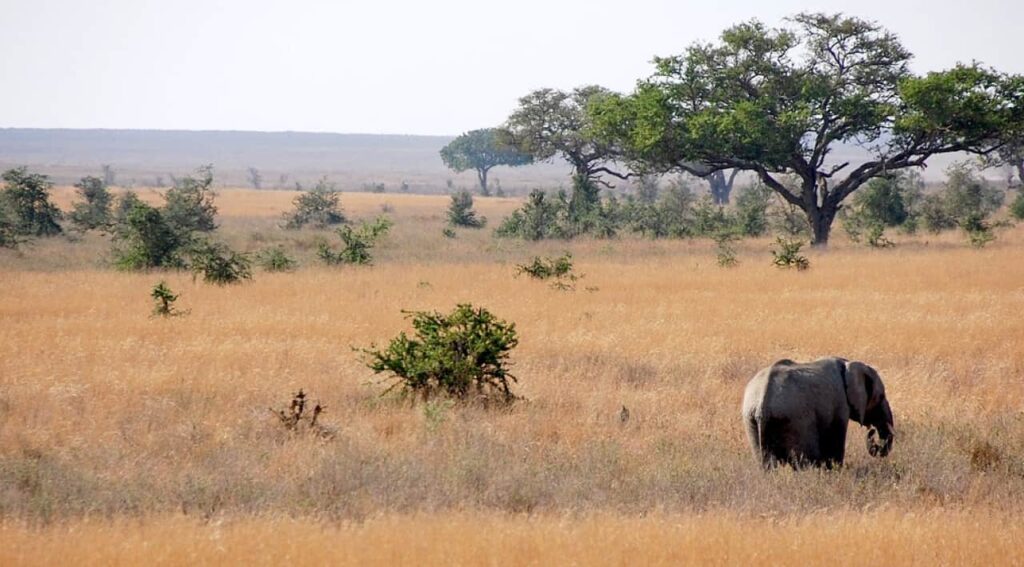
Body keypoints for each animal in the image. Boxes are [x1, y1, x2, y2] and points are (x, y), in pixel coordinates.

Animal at [741, 356, 892, 464]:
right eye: (881, 396)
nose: (871, 431)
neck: (848, 363)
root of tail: (763, 403)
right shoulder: (839, 404)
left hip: (751, 420)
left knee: (766, 463)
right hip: (796, 420)